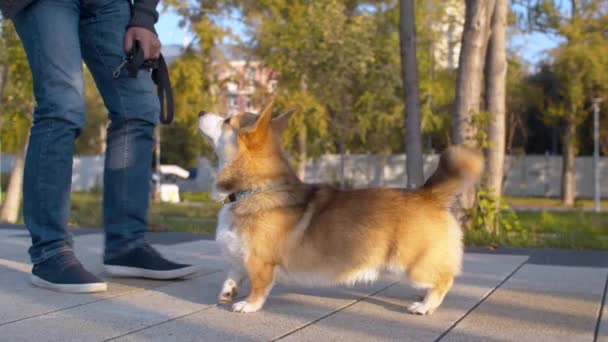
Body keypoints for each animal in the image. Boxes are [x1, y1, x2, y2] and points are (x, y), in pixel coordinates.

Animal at [200, 99, 484, 316]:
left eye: (227, 120)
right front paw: (228, 292)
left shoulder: (260, 262)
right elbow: (234, 273)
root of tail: (427, 194)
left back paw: (424, 306)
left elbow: (258, 287)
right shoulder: (240, 256)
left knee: (445, 279)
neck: (252, 190)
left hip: (412, 265)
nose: (201, 112)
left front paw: (247, 305)